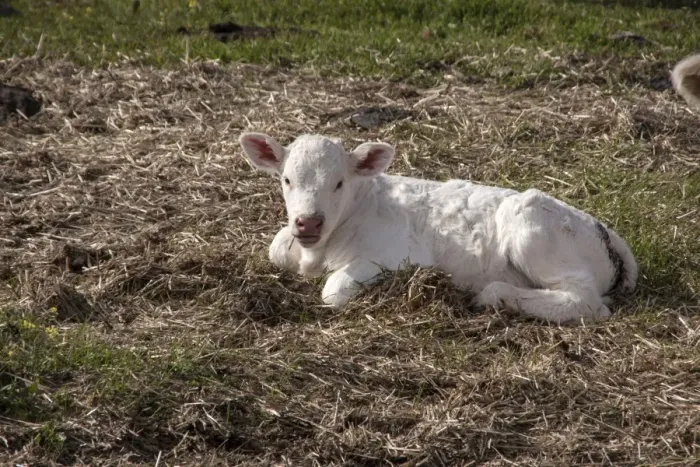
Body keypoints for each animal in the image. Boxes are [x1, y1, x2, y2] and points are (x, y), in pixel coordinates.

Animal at [238, 132, 638, 324]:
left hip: (533, 230)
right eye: (286, 180)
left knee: (583, 299)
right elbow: (276, 248)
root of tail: (603, 230)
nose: (308, 220)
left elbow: (332, 291)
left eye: (338, 183)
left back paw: (494, 295)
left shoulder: (397, 256)